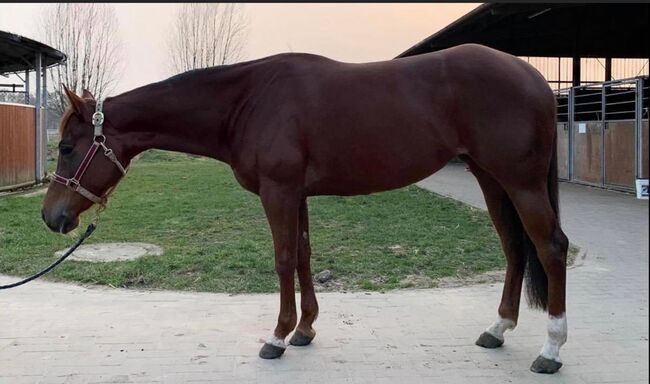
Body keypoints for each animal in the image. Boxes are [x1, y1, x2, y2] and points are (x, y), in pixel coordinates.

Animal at [41, 44, 568, 372]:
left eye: (66, 147)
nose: (51, 217)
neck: (248, 101)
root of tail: (535, 78)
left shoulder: (278, 191)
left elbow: (281, 260)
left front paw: (276, 337)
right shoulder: (297, 195)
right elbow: (304, 257)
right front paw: (305, 330)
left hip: (519, 182)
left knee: (550, 248)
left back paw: (551, 349)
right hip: (492, 180)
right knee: (514, 248)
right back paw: (497, 329)